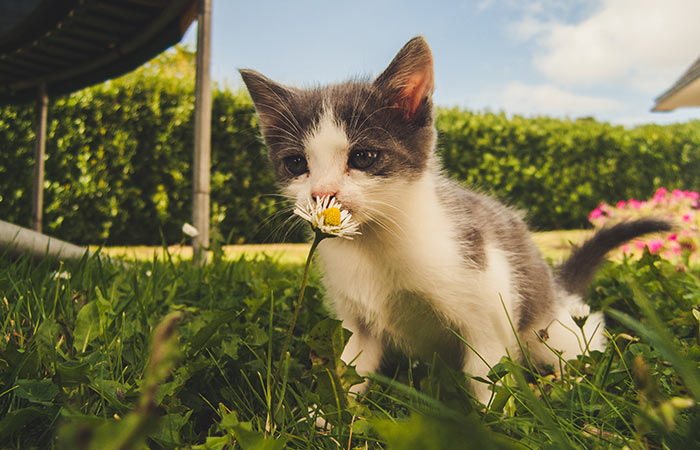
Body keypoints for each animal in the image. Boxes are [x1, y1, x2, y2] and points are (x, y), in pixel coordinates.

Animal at [242, 37, 672, 402]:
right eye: (296, 164)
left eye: (363, 157)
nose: (322, 194)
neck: (376, 243)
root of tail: (556, 286)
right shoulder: (357, 321)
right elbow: (351, 369)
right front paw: (324, 418)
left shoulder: (489, 301)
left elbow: (487, 375)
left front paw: (494, 423)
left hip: (548, 326)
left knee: (582, 337)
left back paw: (569, 382)